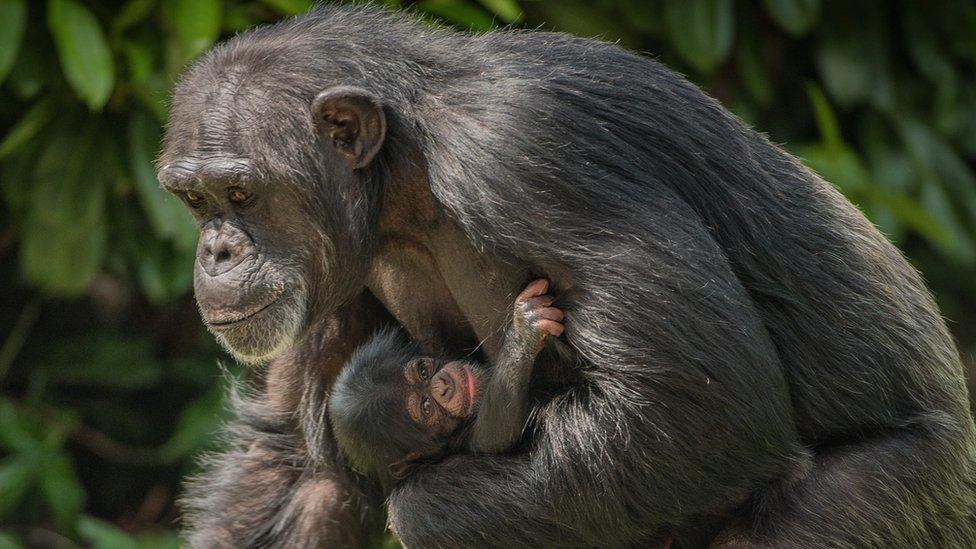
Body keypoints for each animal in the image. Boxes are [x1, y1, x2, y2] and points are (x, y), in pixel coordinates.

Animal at [330, 278, 564, 484]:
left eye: (423, 372)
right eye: (426, 407)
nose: (442, 385)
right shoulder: (459, 443)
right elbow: (493, 433)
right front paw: (524, 330)